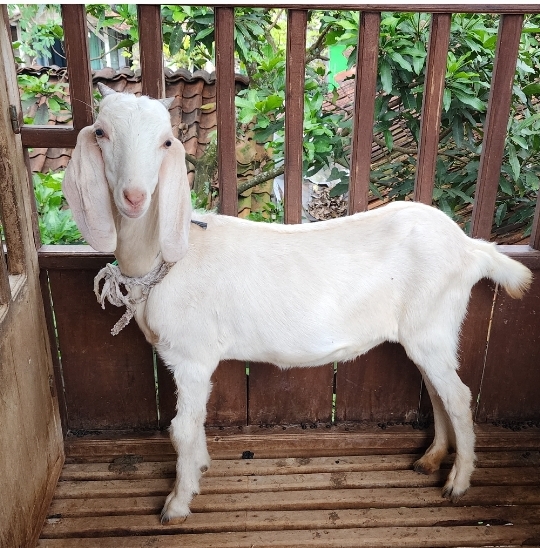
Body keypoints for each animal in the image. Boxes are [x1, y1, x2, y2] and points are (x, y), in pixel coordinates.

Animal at [63, 84, 533, 524]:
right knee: (438, 392)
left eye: (166, 141)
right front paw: (200, 469)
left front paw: (177, 502)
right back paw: (432, 459)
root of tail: (469, 247)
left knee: (458, 396)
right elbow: (194, 425)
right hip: (426, 333)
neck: (165, 259)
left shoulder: (192, 356)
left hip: (432, 326)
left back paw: (458, 481)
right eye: (101, 132)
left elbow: (181, 429)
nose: (134, 197)